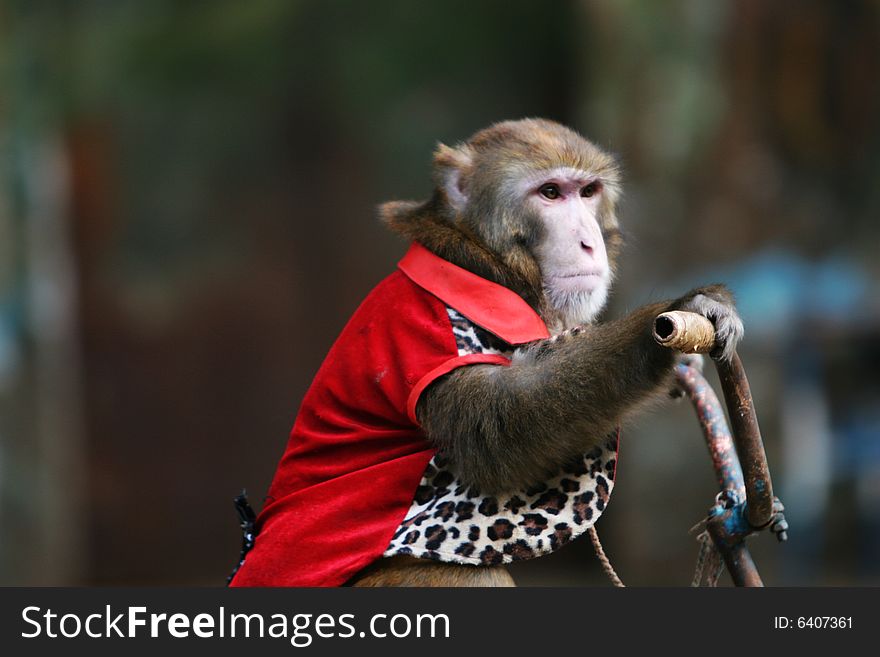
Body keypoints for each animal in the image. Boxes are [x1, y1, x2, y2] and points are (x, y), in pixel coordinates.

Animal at [229, 118, 744, 588]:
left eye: (588, 192)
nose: (587, 242)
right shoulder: (425, 337)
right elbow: (498, 422)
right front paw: (674, 316)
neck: (479, 263)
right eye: (551, 193)